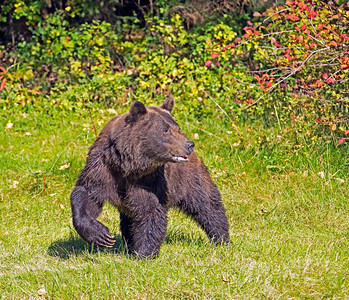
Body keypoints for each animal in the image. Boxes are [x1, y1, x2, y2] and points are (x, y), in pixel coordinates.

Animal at [69, 98, 230, 258]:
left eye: (177, 128)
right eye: (165, 130)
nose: (189, 144)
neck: (127, 166)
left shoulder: (149, 180)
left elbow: (150, 211)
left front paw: (144, 254)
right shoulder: (102, 169)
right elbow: (87, 195)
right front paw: (101, 236)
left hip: (188, 179)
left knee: (207, 206)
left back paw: (222, 239)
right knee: (129, 221)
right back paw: (129, 245)